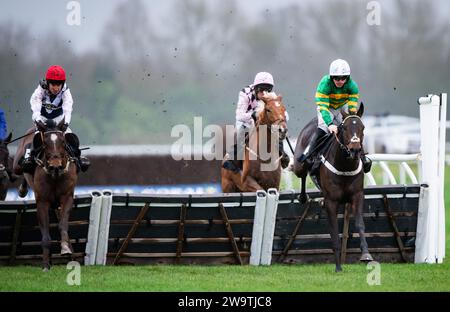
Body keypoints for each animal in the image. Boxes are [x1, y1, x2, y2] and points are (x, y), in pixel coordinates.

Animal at [12, 120, 77, 270]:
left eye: (63, 141)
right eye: (45, 143)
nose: (55, 165)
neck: (55, 175)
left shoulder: (67, 197)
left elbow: (62, 225)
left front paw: (66, 249)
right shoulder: (42, 201)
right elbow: (45, 232)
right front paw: (46, 265)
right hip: (16, 165)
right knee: (20, 169)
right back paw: (22, 189)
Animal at [292, 103, 372, 272]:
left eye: (362, 127)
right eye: (344, 128)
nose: (355, 150)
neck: (344, 165)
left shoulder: (357, 195)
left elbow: (360, 224)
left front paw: (366, 254)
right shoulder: (332, 201)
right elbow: (334, 232)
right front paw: (338, 267)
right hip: (298, 165)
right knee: (302, 174)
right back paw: (303, 196)